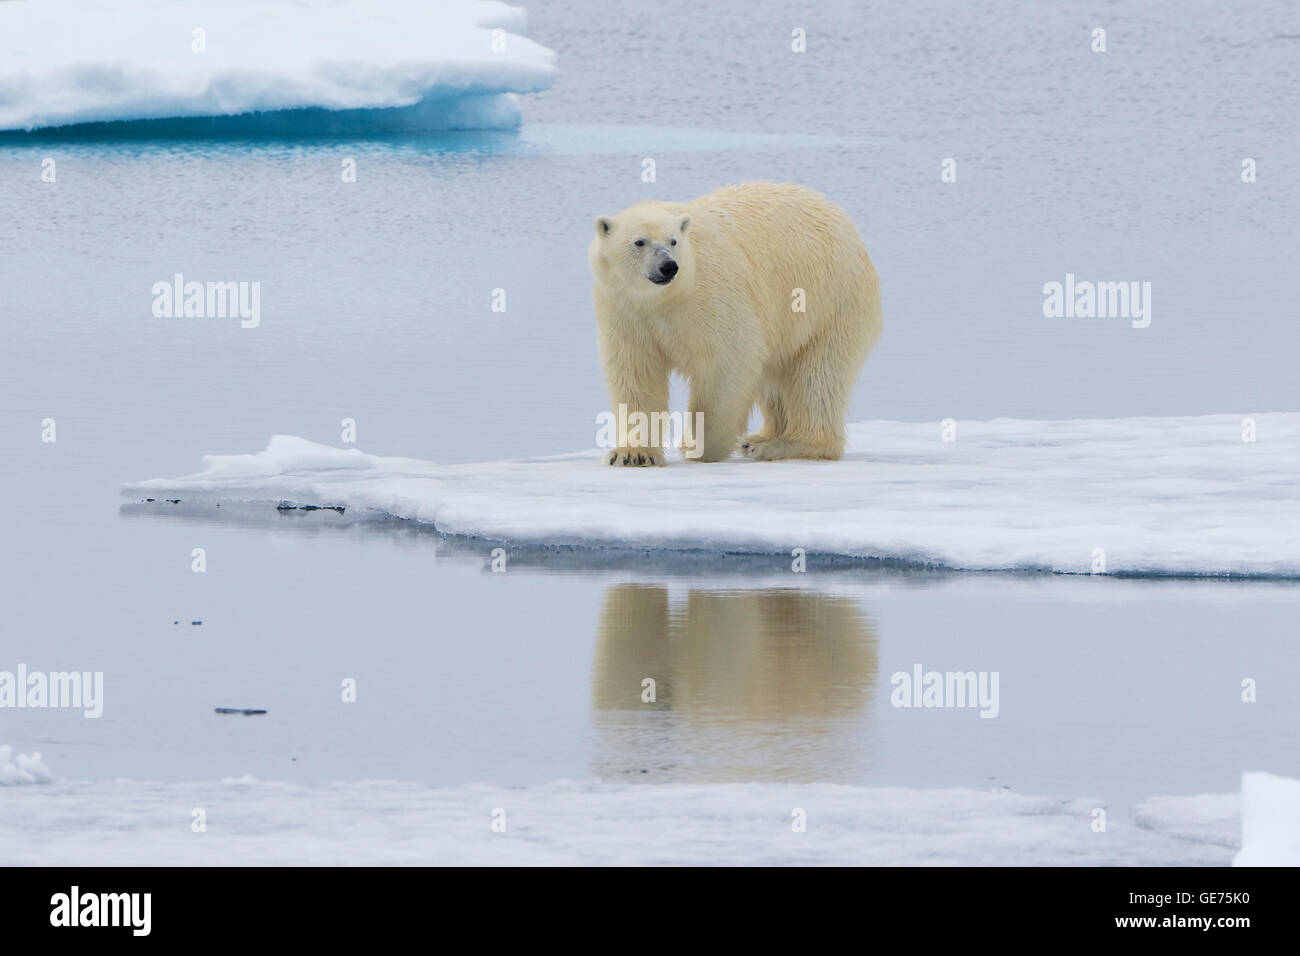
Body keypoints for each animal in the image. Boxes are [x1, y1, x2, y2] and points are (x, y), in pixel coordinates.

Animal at [592, 180, 883, 465]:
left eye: (673, 241)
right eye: (639, 242)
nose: (668, 266)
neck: (665, 299)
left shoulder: (711, 295)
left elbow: (730, 357)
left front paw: (700, 446)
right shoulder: (625, 311)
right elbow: (636, 372)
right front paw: (633, 454)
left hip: (830, 302)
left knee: (817, 376)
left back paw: (783, 445)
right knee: (776, 376)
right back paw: (762, 437)